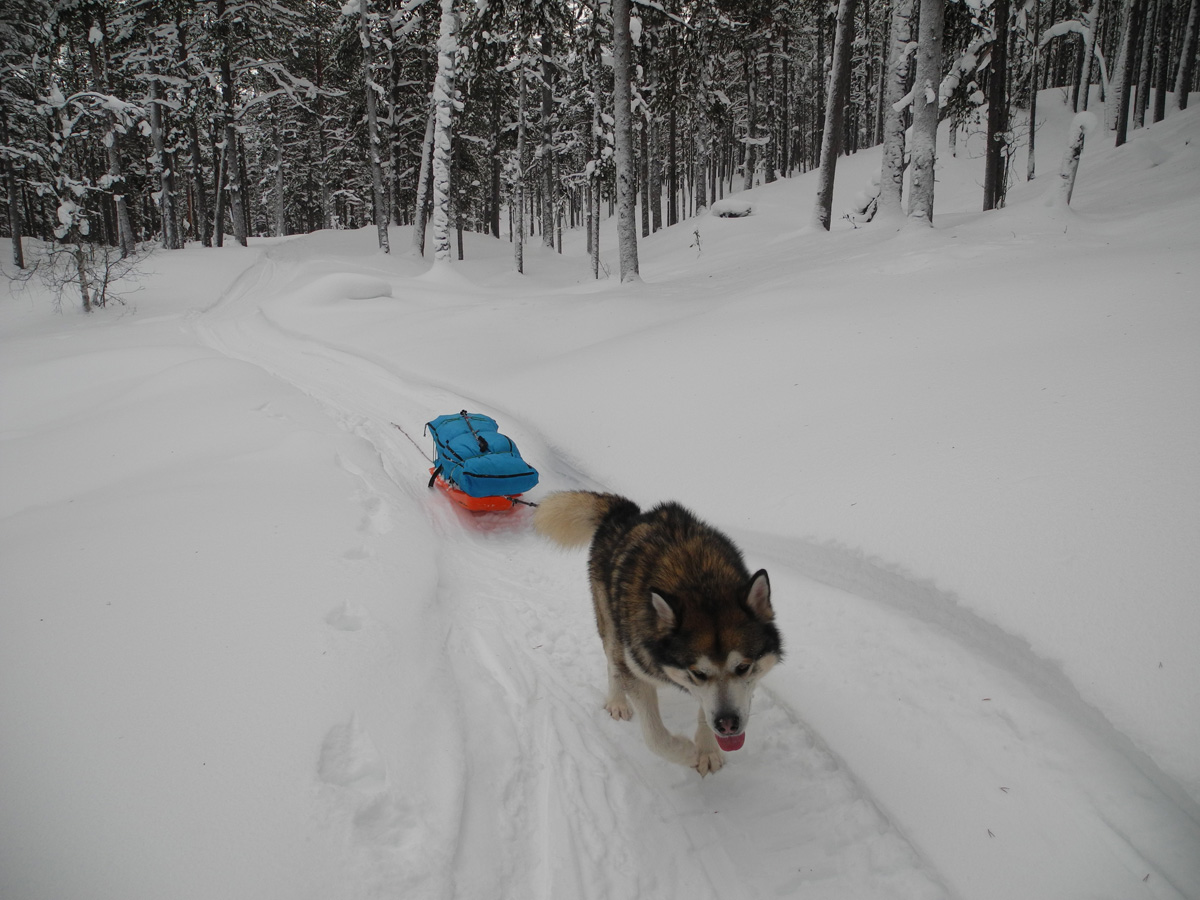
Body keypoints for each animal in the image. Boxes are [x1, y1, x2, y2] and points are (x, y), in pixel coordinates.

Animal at [532, 494, 777, 777]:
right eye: (698, 673)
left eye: (743, 667)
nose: (728, 725)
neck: (699, 581)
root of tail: (626, 513)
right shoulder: (637, 668)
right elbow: (655, 737)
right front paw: (687, 751)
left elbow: (705, 712)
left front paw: (707, 750)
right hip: (611, 624)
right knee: (613, 662)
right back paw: (617, 701)